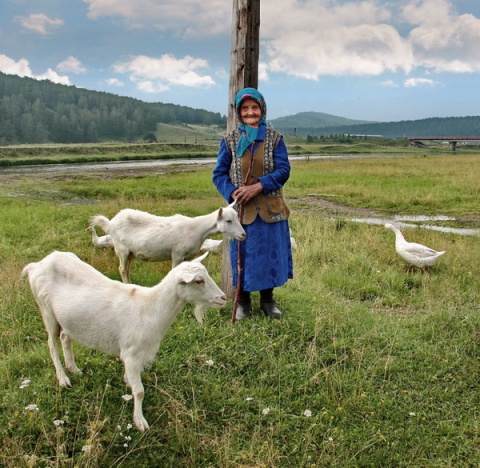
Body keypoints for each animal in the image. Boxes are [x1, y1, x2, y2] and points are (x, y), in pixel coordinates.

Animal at [20, 252, 227, 432]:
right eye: (198, 281)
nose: (223, 298)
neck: (150, 308)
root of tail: (36, 265)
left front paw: (127, 382)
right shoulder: (131, 353)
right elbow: (140, 391)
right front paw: (140, 421)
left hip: (67, 320)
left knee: (65, 338)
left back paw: (74, 369)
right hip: (46, 310)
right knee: (51, 344)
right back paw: (63, 378)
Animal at [89, 204, 246, 284]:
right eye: (228, 220)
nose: (243, 234)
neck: (197, 229)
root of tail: (110, 223)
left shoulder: (187, 256)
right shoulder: (177, 254)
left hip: (131, 253)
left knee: (126, 269)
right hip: (122, 249)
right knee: (121, 268)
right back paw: (127, 284)